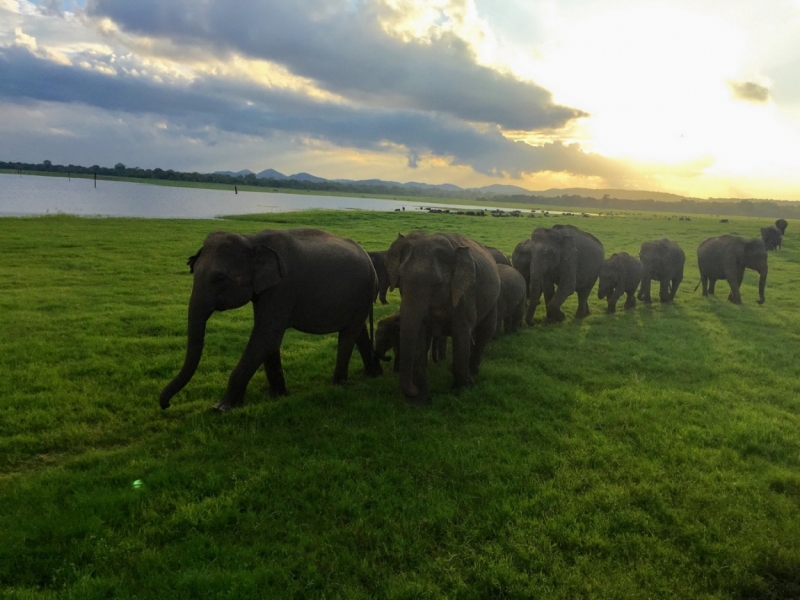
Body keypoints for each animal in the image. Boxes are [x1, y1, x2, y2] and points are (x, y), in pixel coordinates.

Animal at [159, 227, 382, 410]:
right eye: (193, 271)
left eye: (220, 279)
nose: (166, 405)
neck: (250, 239)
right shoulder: (265, 290)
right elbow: (270, 339)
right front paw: (279, 396)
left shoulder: (282, 287)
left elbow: (266, 333)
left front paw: (220, 408)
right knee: (357, 331)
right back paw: (373, 374)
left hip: (364, 291)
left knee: (348, 334)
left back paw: (338, 385)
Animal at [386, 232, 500, 406]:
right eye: (401, 281)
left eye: (437, 284)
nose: (412, 390)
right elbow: (419, 338)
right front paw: (418, 403)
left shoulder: (464, 295)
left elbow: (461, 335)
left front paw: (463, 390)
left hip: (492, 297)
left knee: (485, 332)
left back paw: (473, 372)